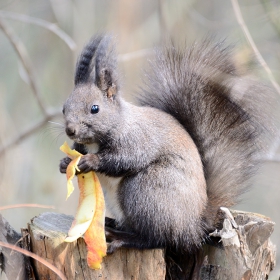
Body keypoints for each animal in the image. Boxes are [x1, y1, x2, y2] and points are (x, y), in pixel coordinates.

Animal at [60, 34, 272, 278]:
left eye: (95, 108)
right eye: (64, 108)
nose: (70, 130)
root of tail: (195, 225)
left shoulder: (138, 141)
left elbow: (124, 160)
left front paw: (91, 161)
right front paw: (64, 163)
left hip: (146, 192)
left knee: (157, 239)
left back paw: (124, 239)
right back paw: (113, 224)